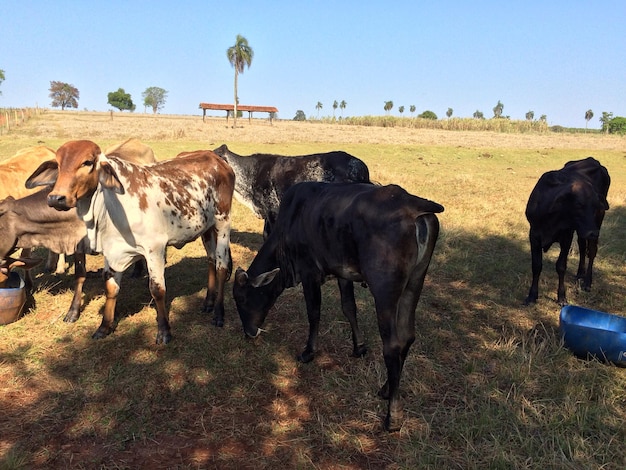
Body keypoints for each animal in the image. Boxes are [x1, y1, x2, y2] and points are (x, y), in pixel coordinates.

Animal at [23, 138, 234, 344]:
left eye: (87, 162)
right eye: (58, 164)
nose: (56, 198)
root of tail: (216, 158)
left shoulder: (155, 249)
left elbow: (157, 290)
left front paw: (164, 331)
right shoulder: (112, 250)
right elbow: (111, 287)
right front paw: (104, 327)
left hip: (222, 223)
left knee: (221, 266)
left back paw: (218, 313)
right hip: (206, 229)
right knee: (211, 260)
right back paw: (208, 302)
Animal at [232, 182, 442, 432]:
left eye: (242, 299)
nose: (249, 332)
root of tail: (414, 205)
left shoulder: (309, 272)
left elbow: (314, 313)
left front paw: (309, 351)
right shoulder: (343, 274)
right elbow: (349, 307)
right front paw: (358, 347)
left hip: (384, 290)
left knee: (393, 344)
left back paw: (393, 415)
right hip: (415, 281)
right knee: (408, 336)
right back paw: (386, 388)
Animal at [520, 156, 608, 306]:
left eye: (596, 205)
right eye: (578, 205)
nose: (593, 232)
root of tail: (594, 160)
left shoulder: (567, 236)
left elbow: (561, 266)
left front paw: (561, 296)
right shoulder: (534, 235)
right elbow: (536, 266)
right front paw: (532, 296)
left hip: (597, 222)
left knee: (592, 251)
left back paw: (587, 281)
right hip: (581, 230)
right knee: (582, 247)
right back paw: (580, 273)